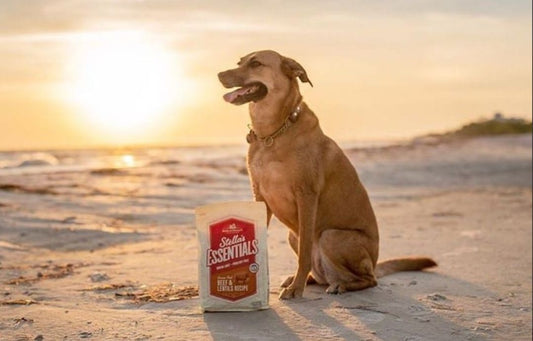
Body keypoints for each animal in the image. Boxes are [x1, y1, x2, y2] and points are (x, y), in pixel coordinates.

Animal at [217, 49, 436, 298]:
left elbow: (304, 254)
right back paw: (312, 279)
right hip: (294, 236)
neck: (272, 134)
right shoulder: (260, 197)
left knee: (368, 280)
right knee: (324, 274)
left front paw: (296, 289)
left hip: (331, 236)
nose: (219, 75)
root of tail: (374, 263)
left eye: (256, 63)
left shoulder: (306, 195)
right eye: (239, 62)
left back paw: (339, 284)